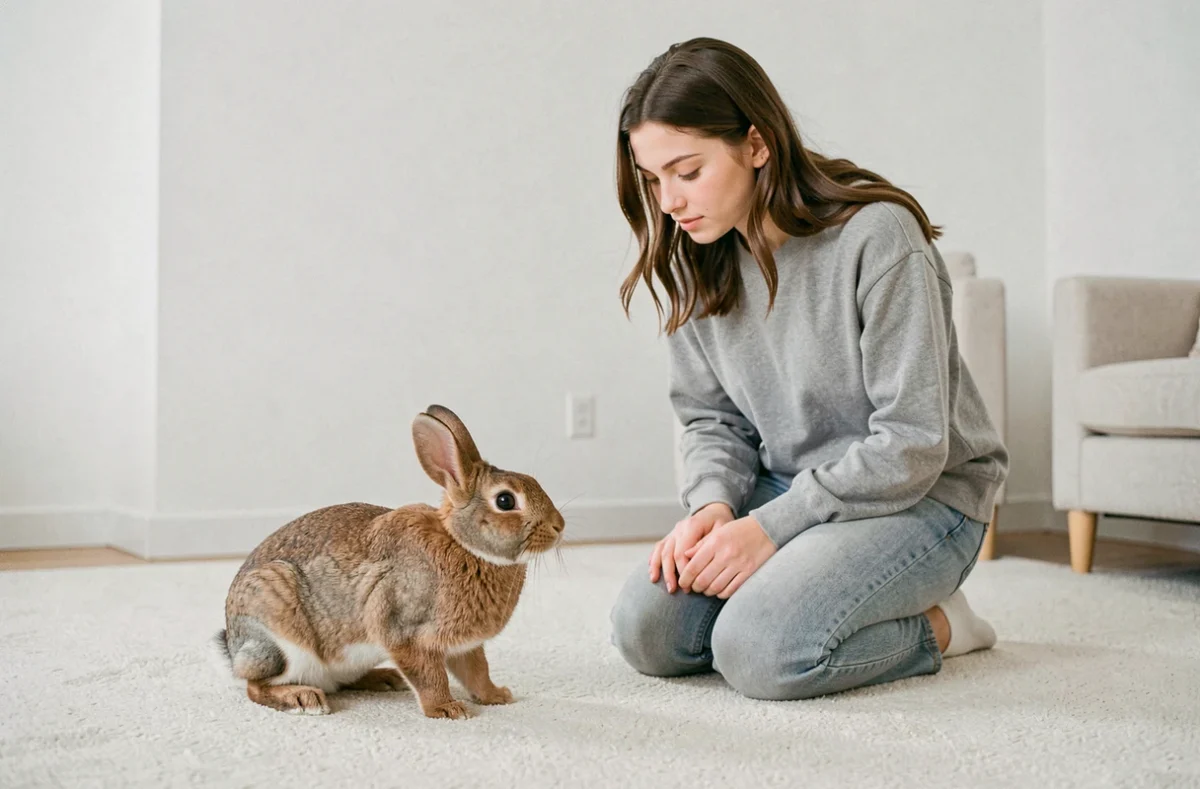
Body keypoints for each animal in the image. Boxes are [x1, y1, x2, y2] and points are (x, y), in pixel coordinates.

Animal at [210, 404, 565, 719]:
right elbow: (430, 677)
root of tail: (233, 648)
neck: (463, 544)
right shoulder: (403, 630)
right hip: (279, 633)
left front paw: (497, 696)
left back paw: (385, 678)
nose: (559, 526)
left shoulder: (465, 646)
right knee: (256, 685)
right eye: (505, 500)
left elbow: (477, 671)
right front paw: (447, 709)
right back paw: (303, 698)